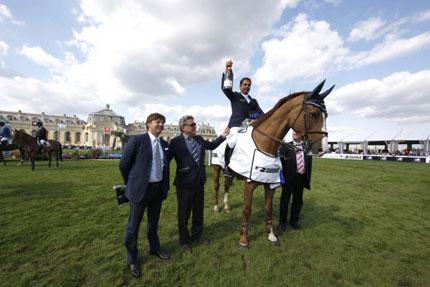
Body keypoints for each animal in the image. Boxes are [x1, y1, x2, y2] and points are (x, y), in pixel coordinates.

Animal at [233, 80, 334, 249]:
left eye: (326, 115)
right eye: (314, 114)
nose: (324, 149)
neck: (264, 143)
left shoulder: (270, 184)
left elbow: (268, 208)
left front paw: (271, 235)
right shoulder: (249, 184)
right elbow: (247, 210)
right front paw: (244, 239)